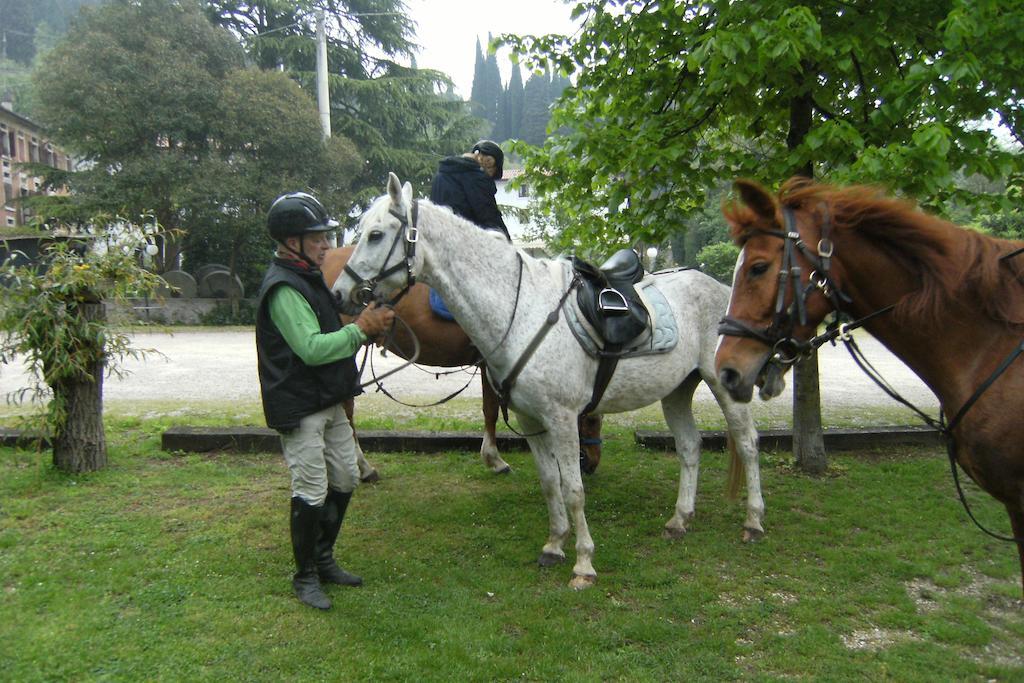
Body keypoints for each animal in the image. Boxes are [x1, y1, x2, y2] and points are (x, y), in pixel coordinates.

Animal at [323, 245, 602, 481]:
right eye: (591, 421)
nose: (592, 464)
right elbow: (491, 409)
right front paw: (494, 459)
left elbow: (489, 409)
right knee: (346, 408)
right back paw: (363, 467)